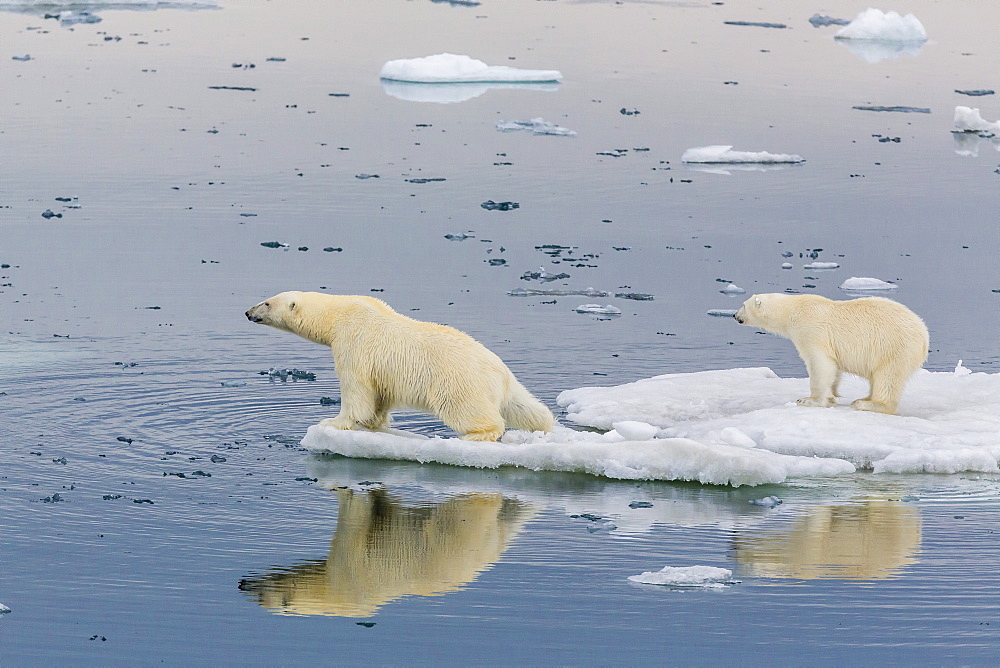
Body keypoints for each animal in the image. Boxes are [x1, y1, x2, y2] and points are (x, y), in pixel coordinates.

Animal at [243, 290, 556, 438]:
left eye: (267, 303)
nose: (247, 312)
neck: (340, 314)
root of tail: (500, 372)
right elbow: (380, 394)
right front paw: (373, 422)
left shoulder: (353, 343)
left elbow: (355, 387)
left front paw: (333, 421)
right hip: (503, 385)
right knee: (525, 406)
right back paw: (545, 426)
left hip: (459, 382)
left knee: (469, 411)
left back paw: (475, 436)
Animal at [736, 292, 928, 412]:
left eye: (743, 305)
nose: (735, 315)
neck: (792, 310)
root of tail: (924, 336)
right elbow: (834, 369)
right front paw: (832, 395)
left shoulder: (811, 330)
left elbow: (820, 364)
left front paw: (808, 400)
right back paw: (864, 398)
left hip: (894, 348)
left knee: (887, 377)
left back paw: (867, 404)